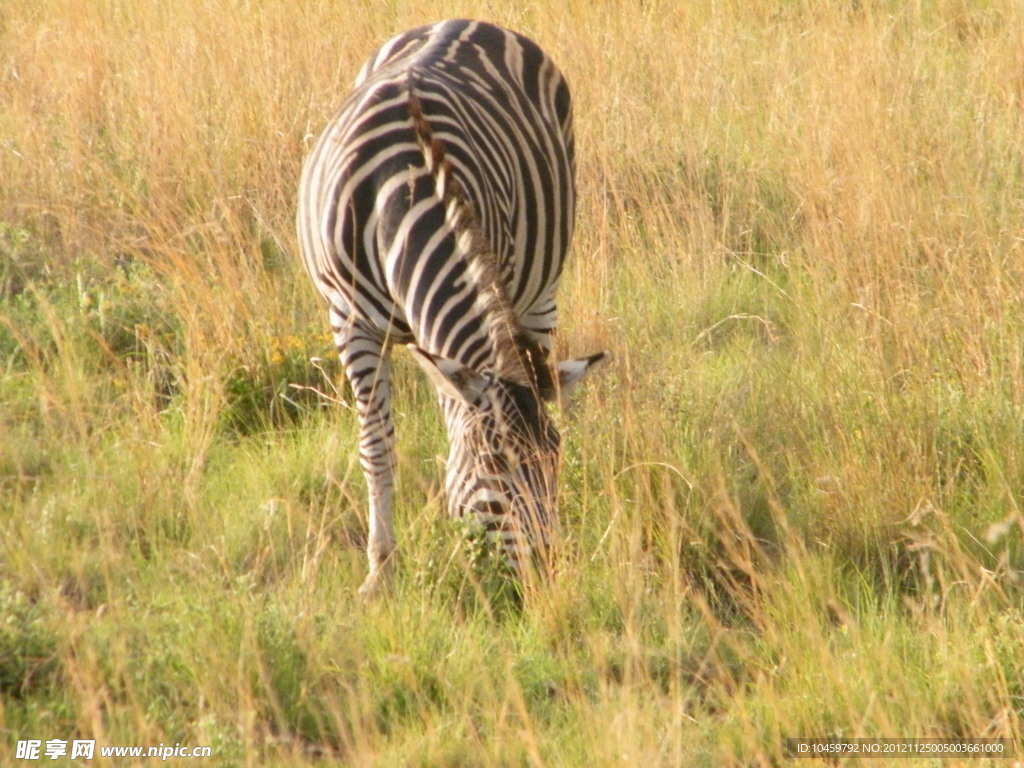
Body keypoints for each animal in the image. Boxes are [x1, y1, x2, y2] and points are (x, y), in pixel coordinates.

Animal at [296, 16, 602, 593]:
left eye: (555, 464)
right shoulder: (349, 323)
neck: (400, 199)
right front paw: (381, 570)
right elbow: (377, 446)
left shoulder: (491, 277)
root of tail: (466, 20)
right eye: (494, 469)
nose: (548, 581)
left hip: (542, 286)